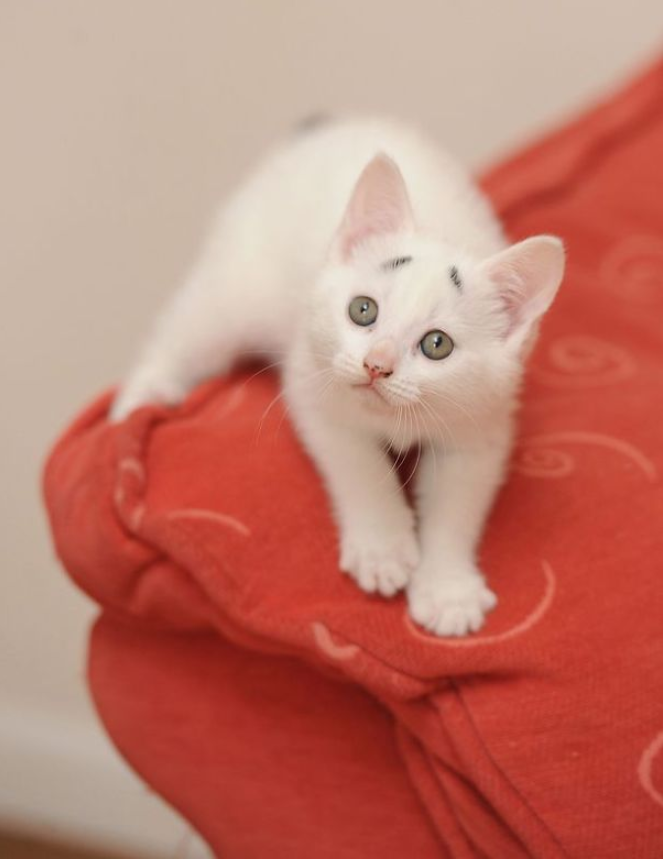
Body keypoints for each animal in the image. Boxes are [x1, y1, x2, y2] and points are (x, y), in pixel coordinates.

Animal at [110, 117, 564, 636]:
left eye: (437, 344)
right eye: (363, 310)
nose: (377, 365)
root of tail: (326, 125)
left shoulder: (482, 424)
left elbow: (457, 504)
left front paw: (448, 590)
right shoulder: (313, 386)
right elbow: (360, 465)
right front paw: (382, 549)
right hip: (237, 285)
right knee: (189, 329)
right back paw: (142, 397)